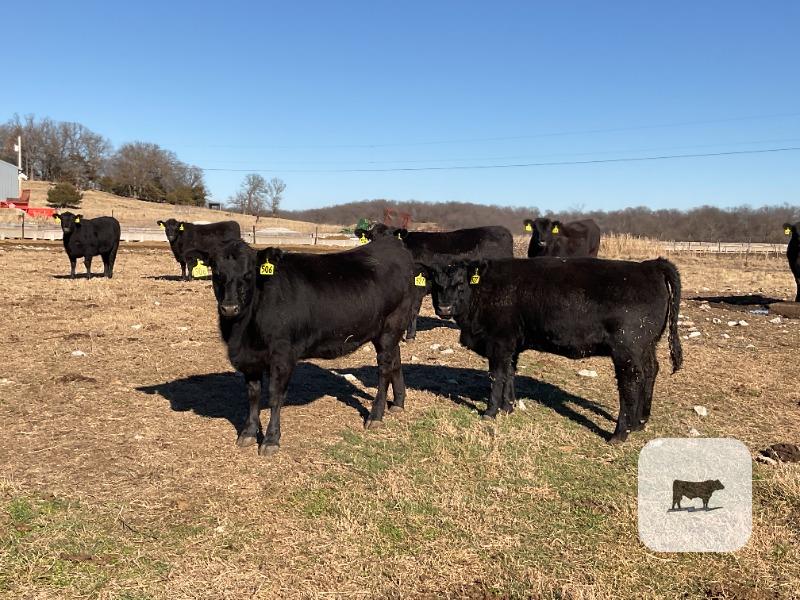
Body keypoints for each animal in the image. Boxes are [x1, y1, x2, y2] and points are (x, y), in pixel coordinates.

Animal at [206, 237, 415, 456]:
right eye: (217, 273)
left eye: (248, 274)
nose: (230, 307)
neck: (242, 333)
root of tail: (393, 244)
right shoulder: (250, 359)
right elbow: (253, 394)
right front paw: (248, 432)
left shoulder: (282, 355)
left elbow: (274, 395)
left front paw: (271, 440)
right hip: (385, 332)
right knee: (395, 360)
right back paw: (398, 403)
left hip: (391, 326)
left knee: (384, 369)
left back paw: (375, 416)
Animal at [430, 257, 682, 444]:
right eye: (436, 285)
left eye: (460, 284)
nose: (444, 307)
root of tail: (649, 265)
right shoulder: (512, 345)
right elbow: (510, 374)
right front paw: (508, 407)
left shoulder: (499, 342)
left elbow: (497, 376)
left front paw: (490, 412)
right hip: (647, 346)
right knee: (651, 371)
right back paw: (640, 422)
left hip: (627, 349)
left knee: (631, 382)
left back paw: (619, 434)